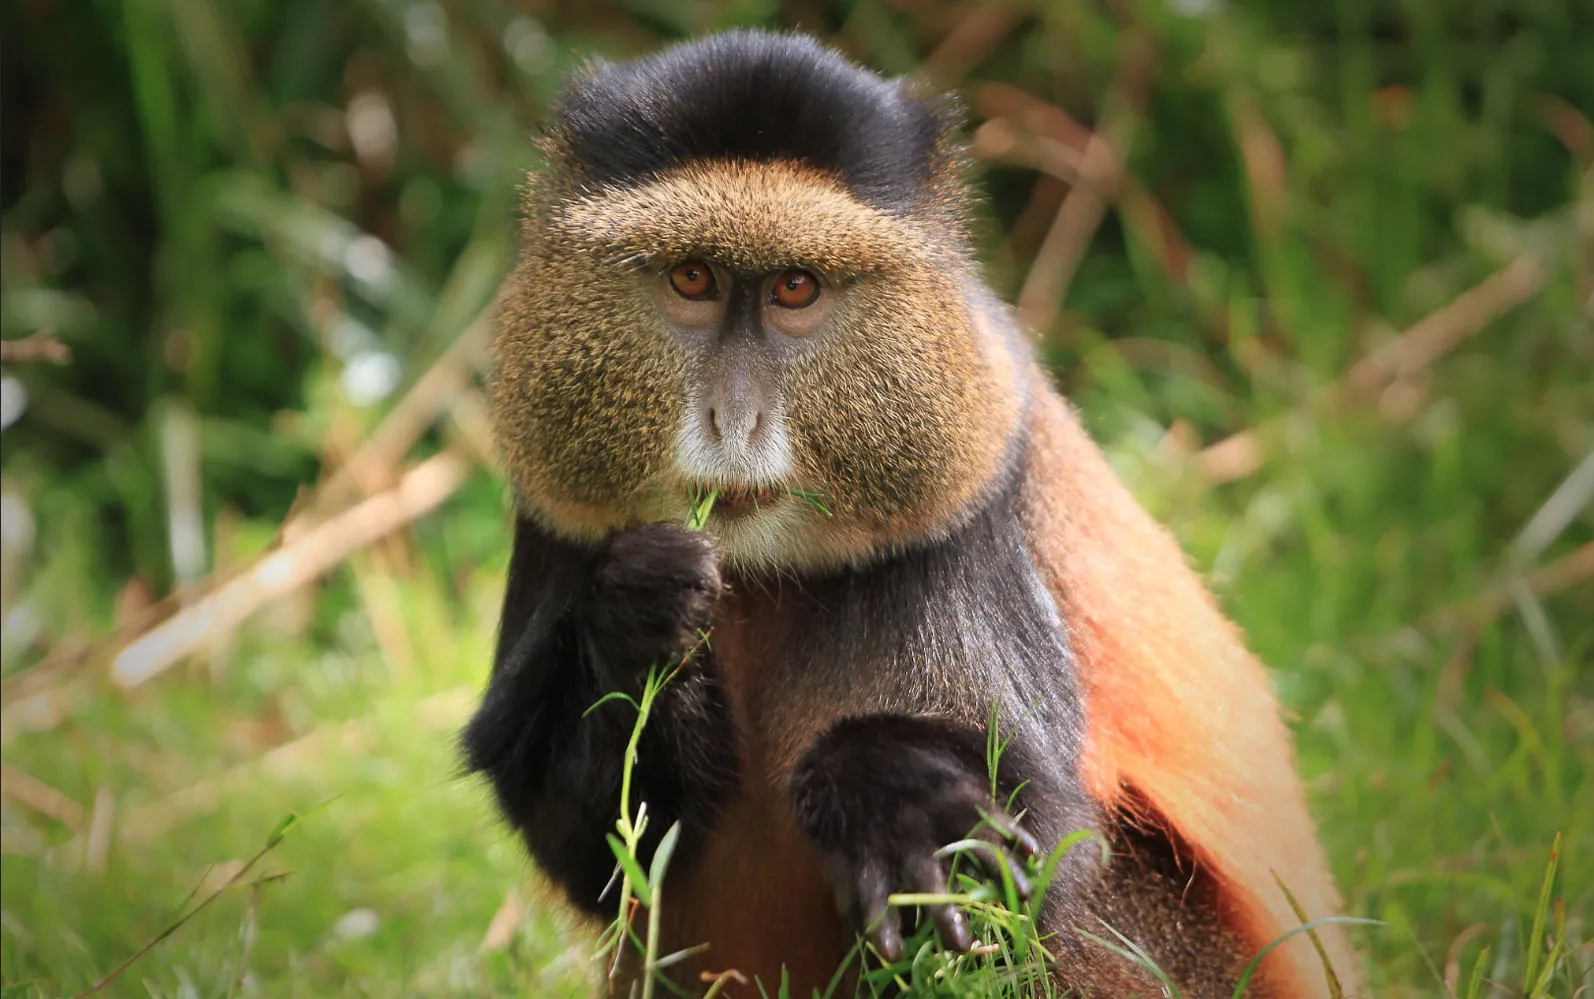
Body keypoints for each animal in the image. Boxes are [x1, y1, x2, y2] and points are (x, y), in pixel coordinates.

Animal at [461, 29, 1358, 999]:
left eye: (796, 288)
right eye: (692, 277)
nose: (733, 420)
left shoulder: (966, 503)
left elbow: (1043, 842)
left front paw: (893, 800)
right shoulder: (557, 514)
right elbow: (586, 839)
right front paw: (638, 610)